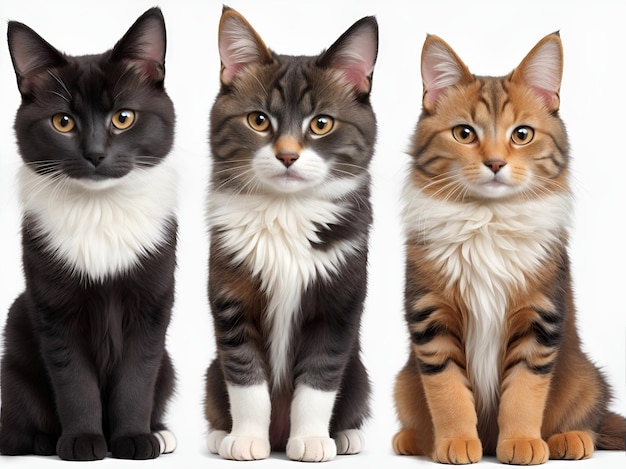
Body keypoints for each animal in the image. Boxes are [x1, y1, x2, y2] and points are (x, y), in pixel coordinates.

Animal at [0, 7, 180, 460]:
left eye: (123, 117)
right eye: (62, 122)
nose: (95, 154)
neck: (100, 209)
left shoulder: (151, 304)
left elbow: (137, 375)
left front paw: (134, 438)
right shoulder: (54, 308)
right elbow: (73, 379)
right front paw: (82, 440)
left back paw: (160, 432)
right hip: (15, 348)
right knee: (17, 425)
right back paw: (42, 439)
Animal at [205, 5, 378, 462]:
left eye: (321, 124)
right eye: (258, 120)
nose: (286, 155)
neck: (286, 210)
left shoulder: (338, 300)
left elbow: (319, 377)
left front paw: (313, 439)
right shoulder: (231, 292)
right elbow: (245, 376)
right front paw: (246, 439)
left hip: (359, 371)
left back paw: (347, 436)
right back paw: (219, 434)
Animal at [390, 31, 624, 462]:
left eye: (522, 134)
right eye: (464, 133)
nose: (496, 163)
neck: (488, 217)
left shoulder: (539, 320)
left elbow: (524, 393)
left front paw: (520, 443)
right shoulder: (432, 319)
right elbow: (448, 392)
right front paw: (456, 442)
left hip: (586, 377)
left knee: (591, 420)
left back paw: (569, 439)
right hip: (403, 383)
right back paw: (417, 440)